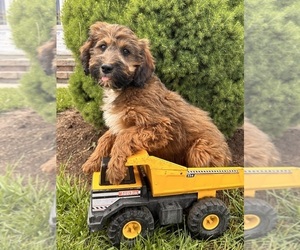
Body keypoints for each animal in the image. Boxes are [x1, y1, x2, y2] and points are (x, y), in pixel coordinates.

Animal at [78, 22, 231, 184]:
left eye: (126, 51)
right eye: (102, 46)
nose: (106, 67)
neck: (128, 86)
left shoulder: (162, 127)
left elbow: (124, 136)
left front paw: (115, 169)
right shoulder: (119, 123)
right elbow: (105, 137)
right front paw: (93, 161)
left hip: (200, 149)